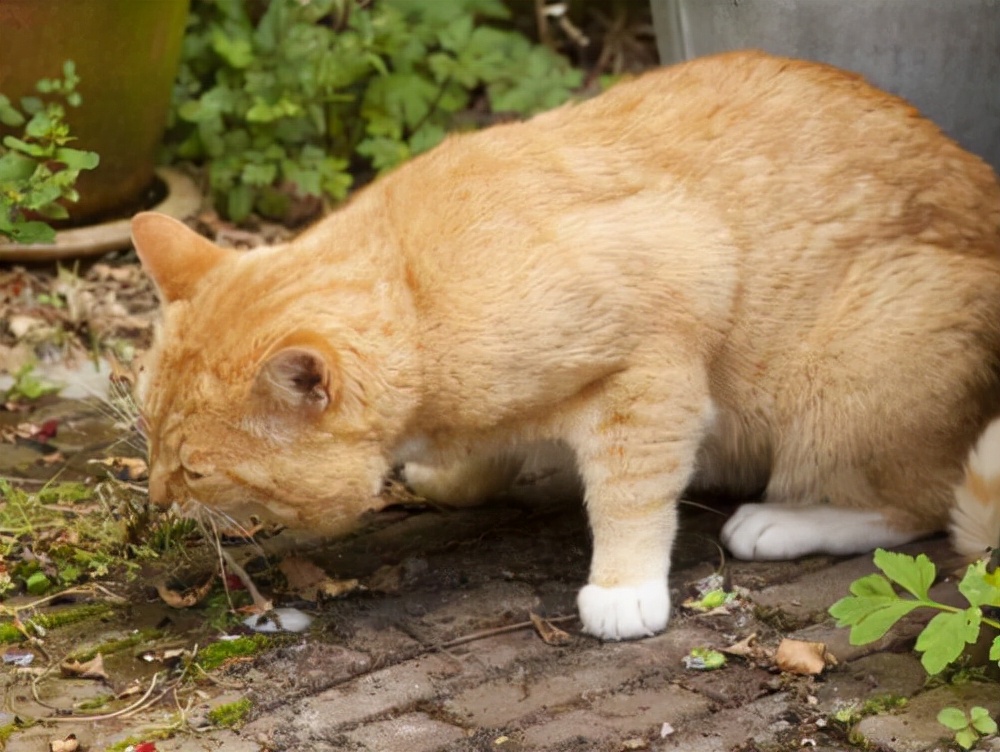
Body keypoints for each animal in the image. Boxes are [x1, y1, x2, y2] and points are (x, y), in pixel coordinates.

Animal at [131, 51, 1000, 640]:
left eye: (197, 469)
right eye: (150, 442)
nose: (159, 500)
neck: (416, 284)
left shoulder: (654, 365)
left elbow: (631, 494)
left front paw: (623, 589)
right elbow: (487, 455)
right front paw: (457, 478)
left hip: (846, 382)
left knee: (918, 509)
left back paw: (780, 522)